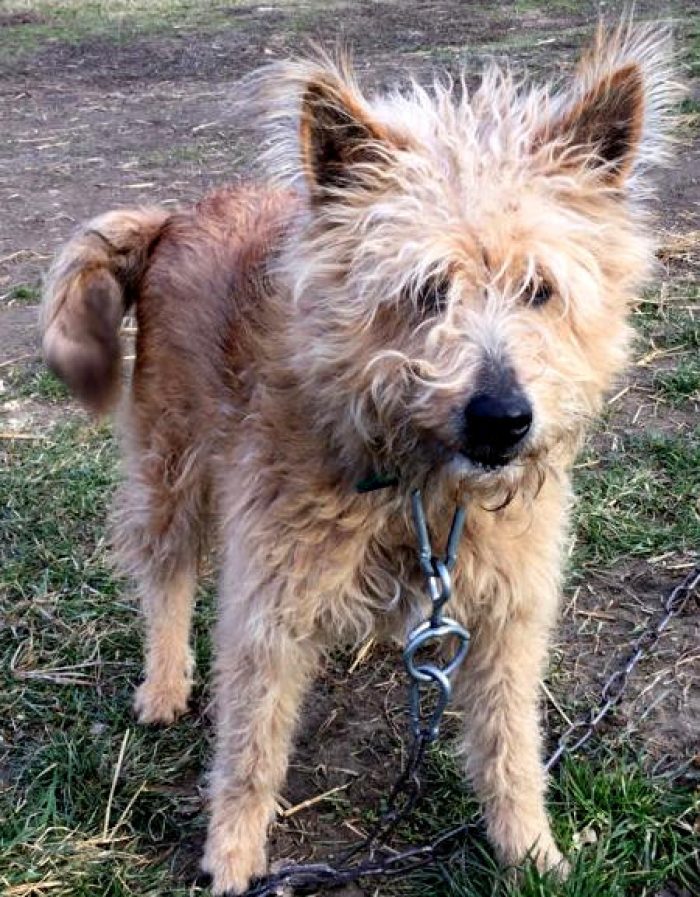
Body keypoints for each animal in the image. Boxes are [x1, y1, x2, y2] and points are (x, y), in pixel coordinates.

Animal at [41, 21, 676, 895]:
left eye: (539, 289)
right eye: (427, 290)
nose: (502, 419)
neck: (421, 488)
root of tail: (174, 217)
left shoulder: (511, 611)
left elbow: (510, 746)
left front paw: (532, 850)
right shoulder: (267, 607)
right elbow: (251, 745)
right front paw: (233, 853)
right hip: (169, 462)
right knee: (164, 574)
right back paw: (165, 682)